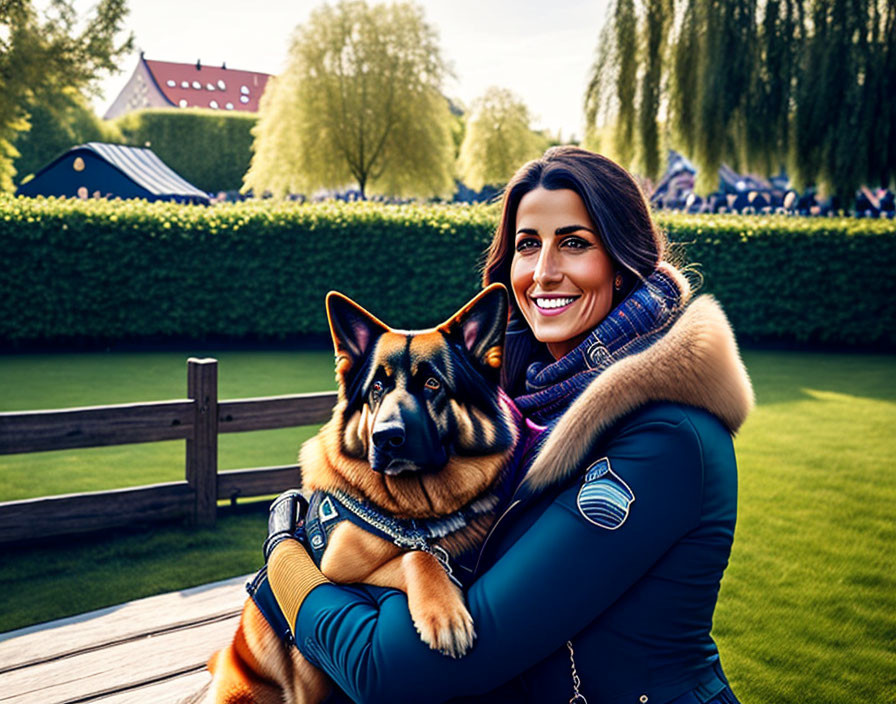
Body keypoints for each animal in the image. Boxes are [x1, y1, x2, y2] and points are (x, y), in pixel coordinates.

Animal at [196, 286, 520, 704]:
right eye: (376, 389)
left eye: (432, 384)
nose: (386, 437)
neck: (414, 515)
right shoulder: (337, 570)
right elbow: (415, 556)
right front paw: (444, 611)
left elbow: (416, 554)